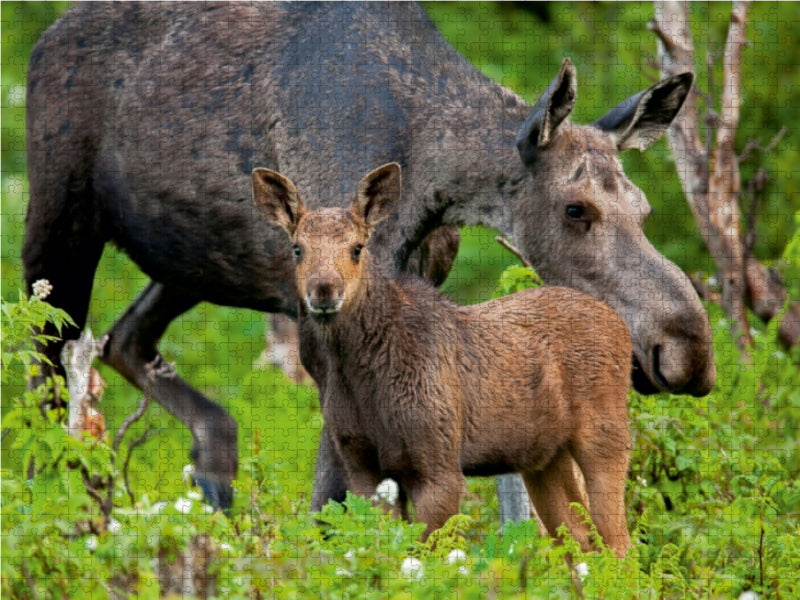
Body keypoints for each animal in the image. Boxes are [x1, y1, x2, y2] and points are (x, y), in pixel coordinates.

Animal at [25, 2, 716, 512]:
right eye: (576, 210)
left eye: (644, 209)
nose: (688, 349)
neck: (432, 179)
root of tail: (45, 39)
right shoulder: (314, 319)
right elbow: (333, 499)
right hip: (60, 225)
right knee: (45, 373)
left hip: (189, 263)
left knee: (124, 338)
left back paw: (215, 473)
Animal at [253, 162, 636, 556]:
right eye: (297, 248)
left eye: (357, 247)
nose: (324, 290)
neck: (363, 379)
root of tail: (620, 326)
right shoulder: (362, 467)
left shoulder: (439, 466)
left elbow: (431, 555)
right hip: (543, 458)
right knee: (581, 540)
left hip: (605, 434)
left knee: (620, 544)